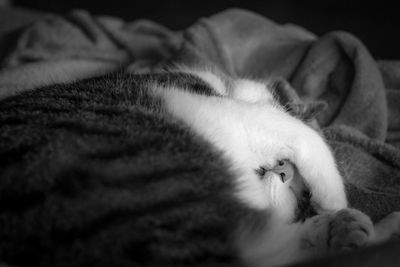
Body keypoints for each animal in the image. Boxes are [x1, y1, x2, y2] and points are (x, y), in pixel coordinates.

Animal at [0, 68, 400, 267]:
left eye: (299, 195)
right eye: (291, 174)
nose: (280, 170)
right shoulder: (217, 108)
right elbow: (306, 136)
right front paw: (334, 200)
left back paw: (350, 231)